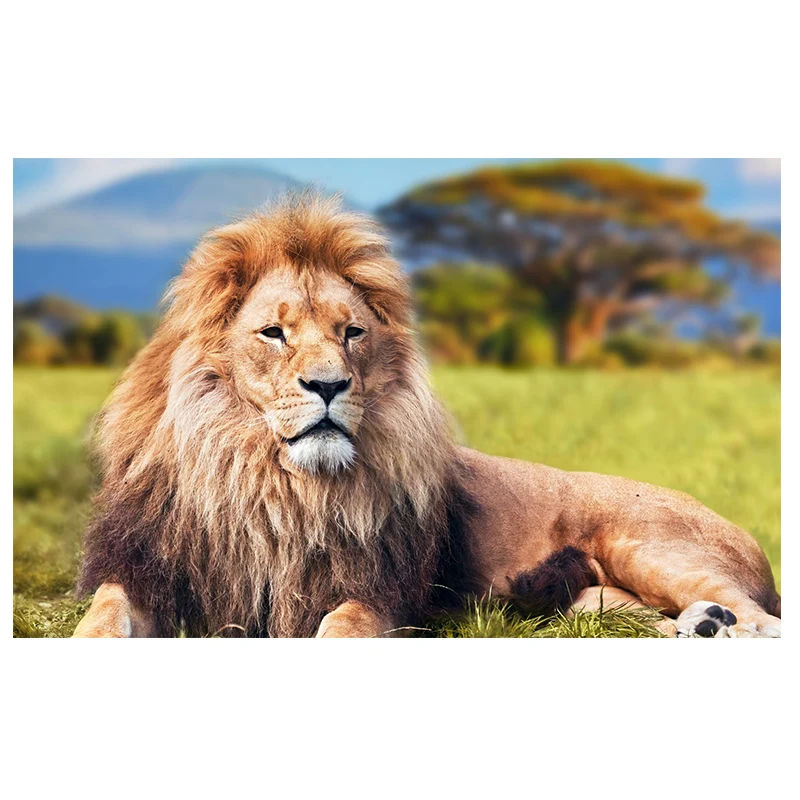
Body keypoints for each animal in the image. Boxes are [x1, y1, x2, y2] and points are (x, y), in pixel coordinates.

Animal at [73, 195, 781, 638]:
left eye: (352, 332)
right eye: (274, 333)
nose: (328, 385)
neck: (270, 484)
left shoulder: (378, 593)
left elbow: (340, 628)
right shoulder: (142, 572)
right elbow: (102, 617)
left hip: (648, 546)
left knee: (765, 618)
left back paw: (720, 624)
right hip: (589, 603)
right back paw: (700, 625)